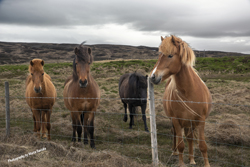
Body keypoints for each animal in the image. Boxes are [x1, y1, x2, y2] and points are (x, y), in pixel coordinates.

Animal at [149, 35, 212, 167]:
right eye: (159, 55)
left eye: (170, 55)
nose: (153, 76)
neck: (189, 92)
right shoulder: (176, 120)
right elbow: (181, 145)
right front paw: (181, 163)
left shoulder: (201, 120)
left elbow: (202, 145)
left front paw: (206, 164)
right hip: (177, 122)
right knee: (175, 135)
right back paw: (175, 152)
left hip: (190, 123)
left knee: (190, 138)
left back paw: (192, 159)